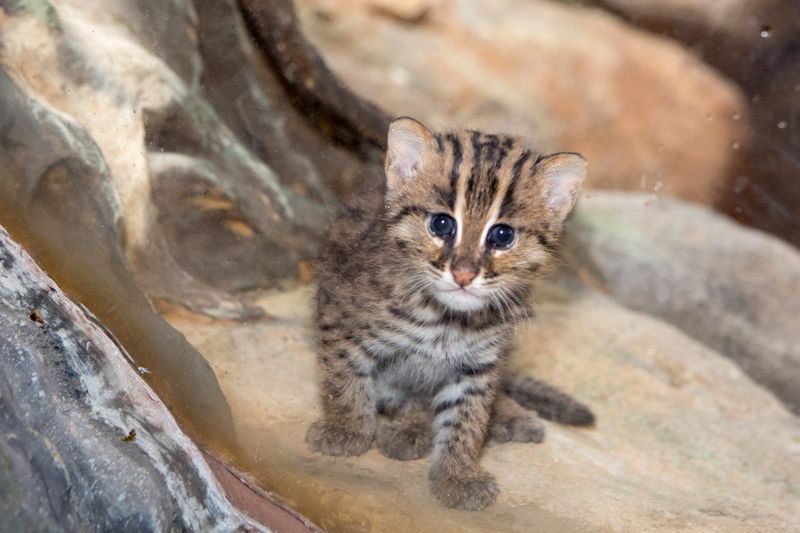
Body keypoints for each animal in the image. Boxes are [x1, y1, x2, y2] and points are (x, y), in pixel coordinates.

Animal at [306, 117, 592, 512]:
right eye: (441, 225)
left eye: (502, 235)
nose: (464, 274)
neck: (447, 320)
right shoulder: (339, 317)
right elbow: (343, 379)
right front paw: (346, 428)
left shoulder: (480, 364)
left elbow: (468, 419)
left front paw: (458, 474)